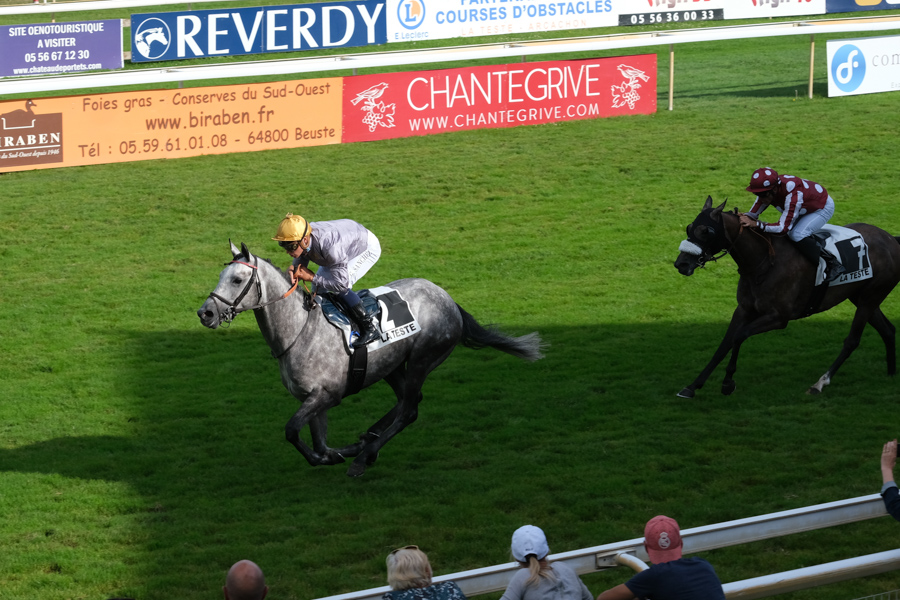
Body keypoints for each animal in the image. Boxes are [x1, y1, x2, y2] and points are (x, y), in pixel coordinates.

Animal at [198, 241, 544, 476]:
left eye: (237, 280)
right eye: (221, 274)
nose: (206, 313)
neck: (299, 330)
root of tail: (448, 299)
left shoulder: (327, 395)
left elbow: (292, 430)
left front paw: (339, 455)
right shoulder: (313, 398)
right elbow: (319, 441)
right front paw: (337, 453)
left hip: (423, 358)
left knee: (409, 410)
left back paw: (366, 455)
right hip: (391, 366)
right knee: (407, 401)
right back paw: (367, 440)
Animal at [676, 197, 900, 400]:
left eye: (707, 231)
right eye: (689, 227)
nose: (681, 264)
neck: (763, 263)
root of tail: (891, 239)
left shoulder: (779, 317)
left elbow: (740, 335)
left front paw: (728, 383)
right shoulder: (743, 310)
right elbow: (724, 344)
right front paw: (692, 386)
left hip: (870, 297)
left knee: (852, 341)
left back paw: (820, 384)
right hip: (861, 297)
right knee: (888, 330)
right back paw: (891, 374)